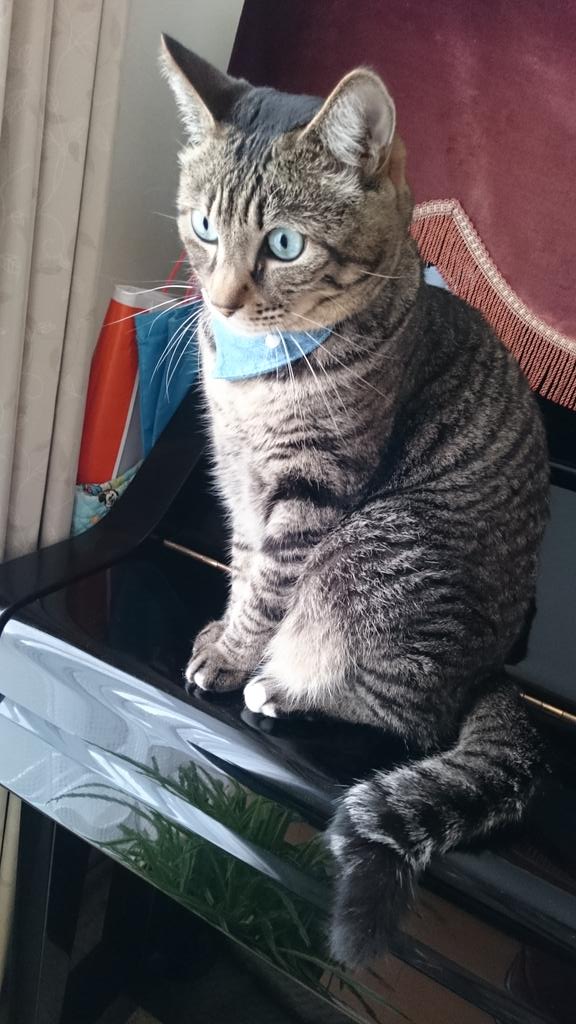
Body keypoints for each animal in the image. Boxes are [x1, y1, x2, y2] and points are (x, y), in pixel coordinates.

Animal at [160, 35, 549, 966]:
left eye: (285, 243)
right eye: (203, 227)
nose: (220, 299)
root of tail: (495, 671)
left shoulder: (313, 491)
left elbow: (269, 585)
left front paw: (235, 658)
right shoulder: (237, 481)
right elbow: (243, 566)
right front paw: (223, 632)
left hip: (382, 542)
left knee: (410, 713)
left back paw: (284, 686)